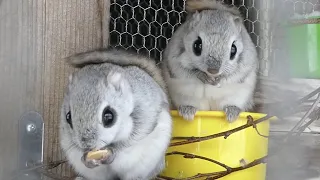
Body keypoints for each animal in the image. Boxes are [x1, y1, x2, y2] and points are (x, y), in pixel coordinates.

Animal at [58, 48, 171, 180]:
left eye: (109, 116)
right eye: (68, 117)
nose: (87, 146)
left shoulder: (145, 111)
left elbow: (134, 136)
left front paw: (112, 152)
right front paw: (86, 158)